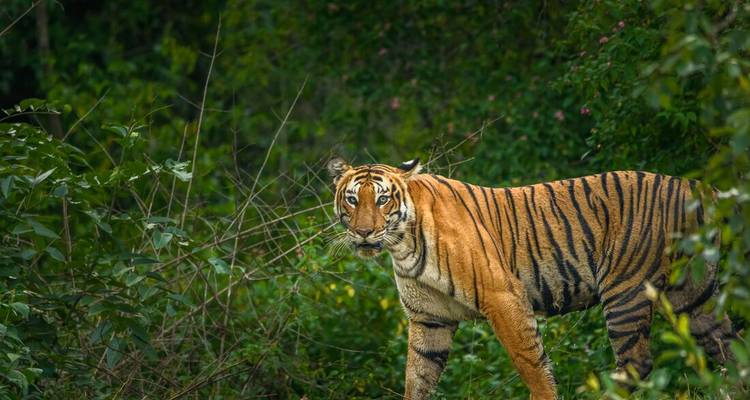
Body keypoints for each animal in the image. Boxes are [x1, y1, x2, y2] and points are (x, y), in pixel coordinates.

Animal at [326, 157, 738, 400]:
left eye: (382, 200)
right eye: (352, 199)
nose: (364, 233)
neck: (401, 245)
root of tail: (697, 187)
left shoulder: (503, 296)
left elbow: (530, 362)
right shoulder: (429, 318)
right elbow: (417, 376)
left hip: (626, 291)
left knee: (637, 363)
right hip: (694, 296)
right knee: (729, 347)